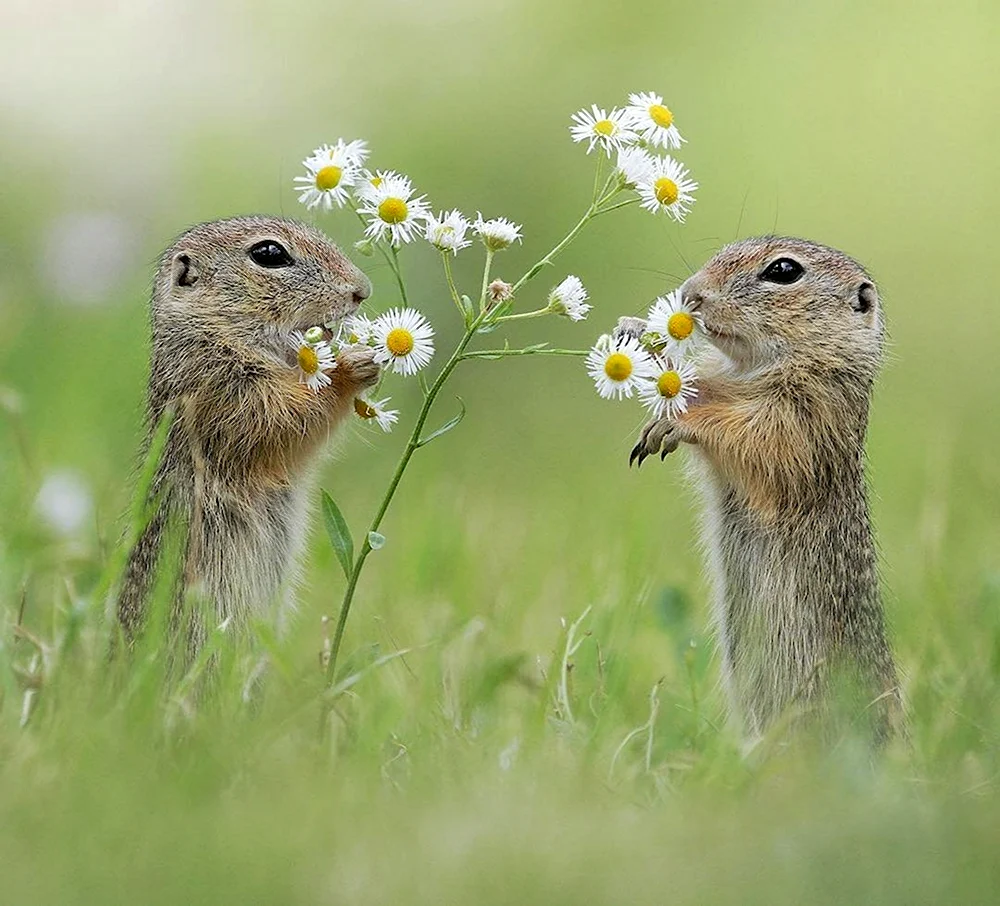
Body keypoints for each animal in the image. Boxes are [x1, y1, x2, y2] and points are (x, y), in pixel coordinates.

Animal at [119, 216, 376, 648]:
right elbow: (282, 421)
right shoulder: (221, 390)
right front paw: (352, 367)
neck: (213, 331)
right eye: (269, 254)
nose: (361, 289)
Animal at [620, 235, 904, 740]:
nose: (691, 293)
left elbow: (747, 434)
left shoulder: (802, 417)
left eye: (784, 271)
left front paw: (677, 416)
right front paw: (638, 335)